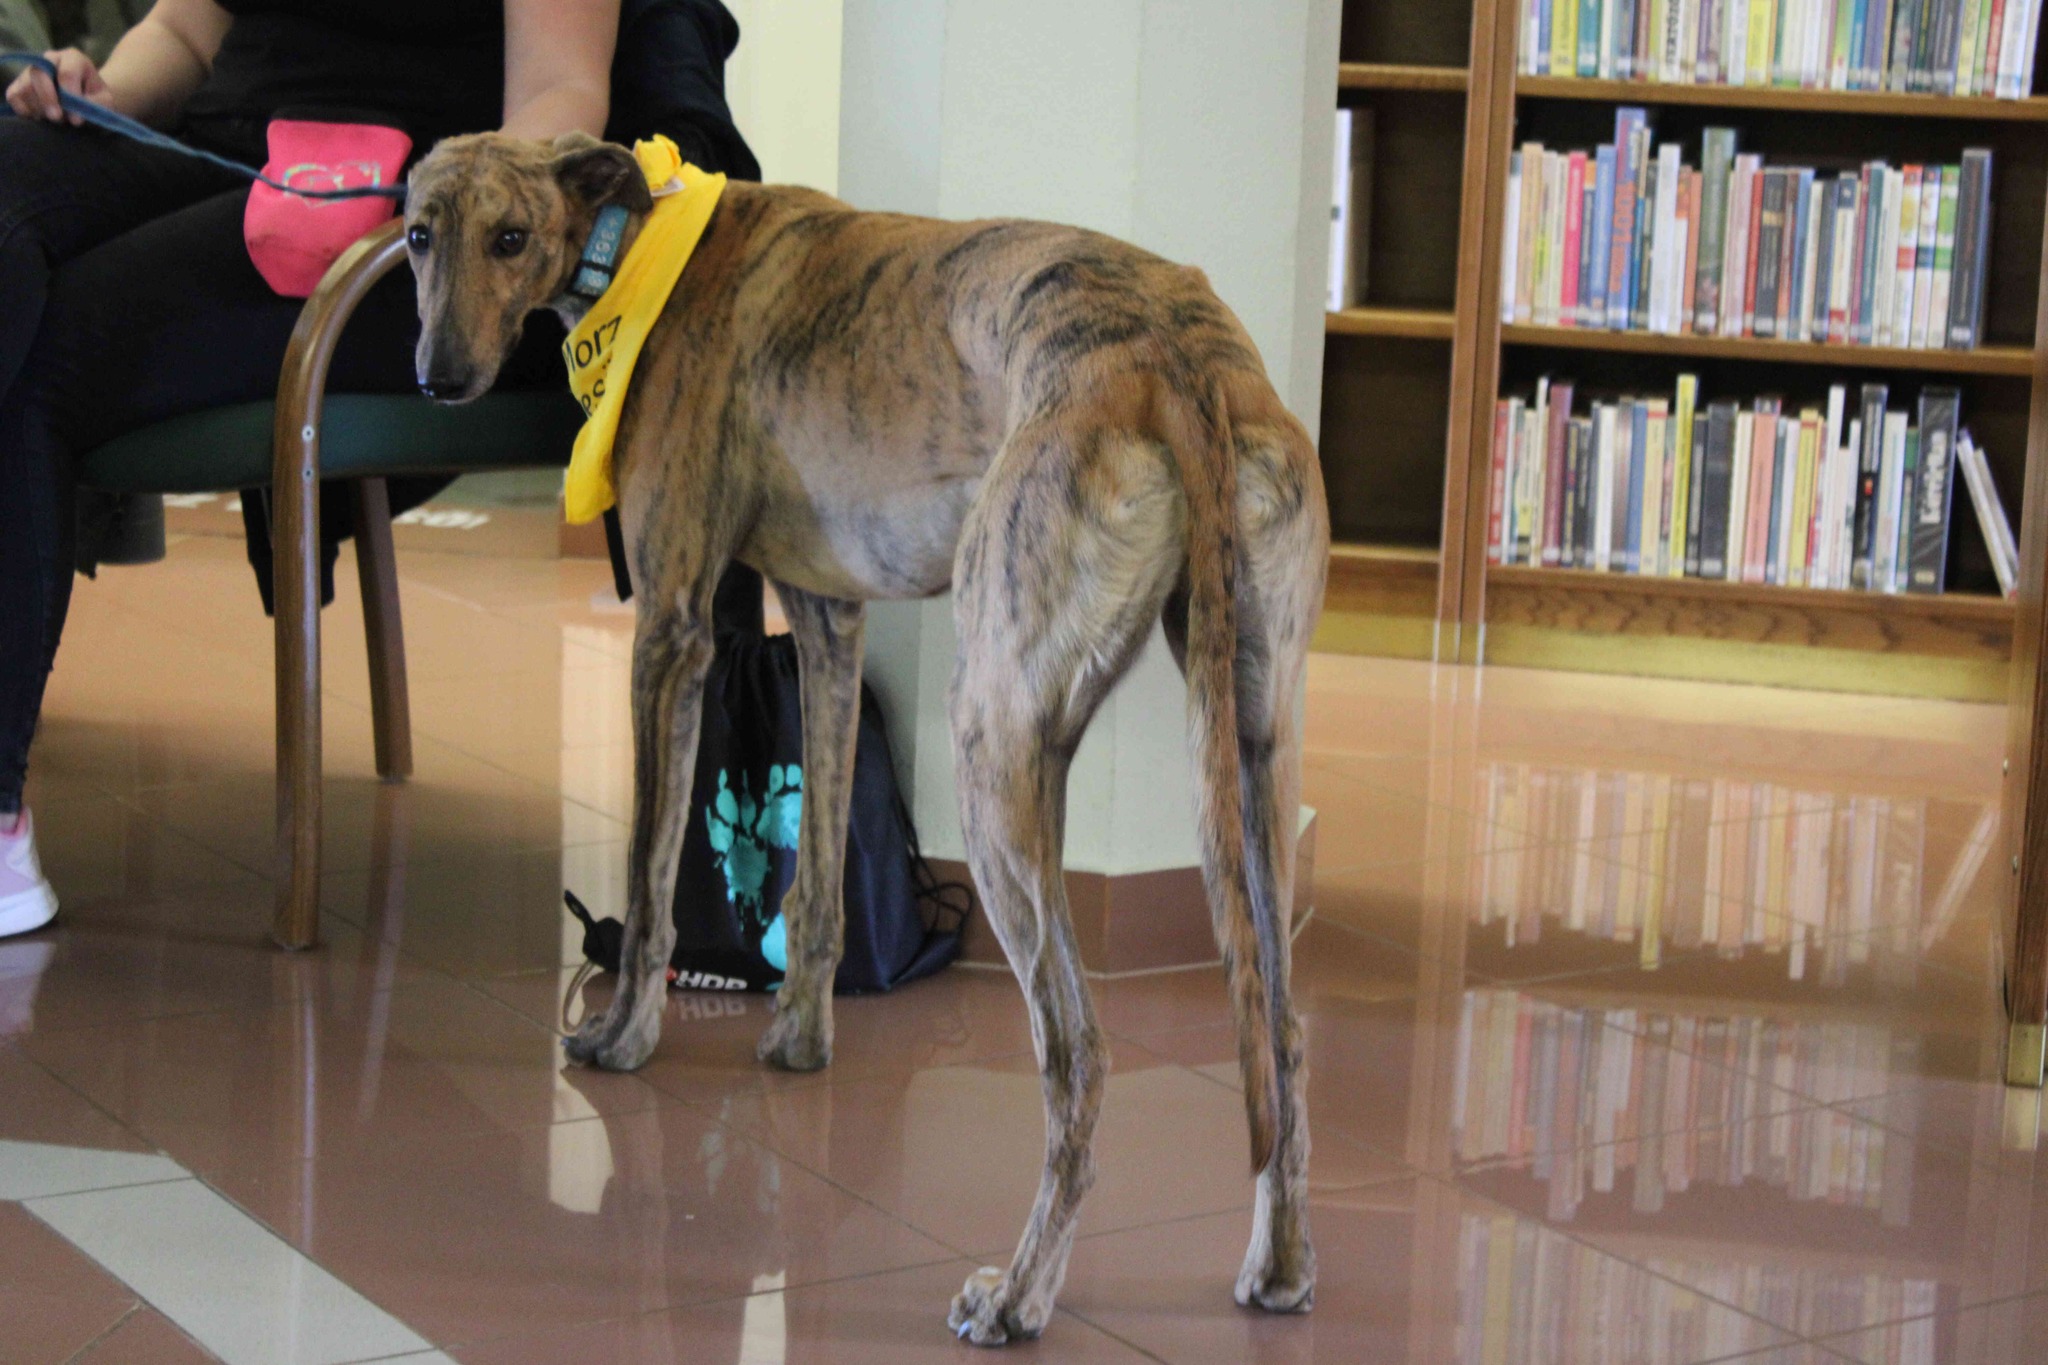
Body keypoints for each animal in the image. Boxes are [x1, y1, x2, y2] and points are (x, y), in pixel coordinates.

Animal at [403, 130, 1329, 1346]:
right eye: (419, 234)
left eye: (510, 237)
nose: (437, 376)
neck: (641, 238)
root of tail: (1172, 353)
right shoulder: (829, 623)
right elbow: (819, 884)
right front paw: (799, 1041)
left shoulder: (671, 629)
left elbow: (648, 879)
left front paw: (622, 1037)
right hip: (1251, 743)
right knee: (1280, 1026)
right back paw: (1278, 1264)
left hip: (996, 744)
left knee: (1076, 1050)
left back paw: (1019, 1293)